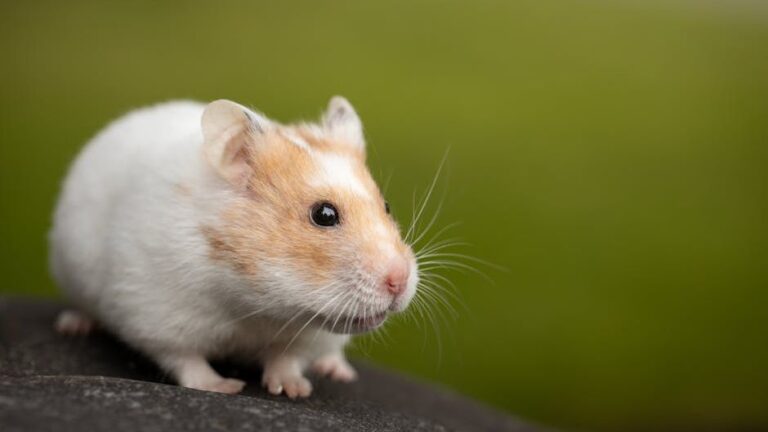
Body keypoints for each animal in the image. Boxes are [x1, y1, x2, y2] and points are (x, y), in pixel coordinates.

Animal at [49, 97, 419, 398]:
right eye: (324, 214)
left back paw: (337, 370)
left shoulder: (307, 336)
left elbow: (286, 358)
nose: (399, 282)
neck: (257, 305)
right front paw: (225, 387)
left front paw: (295, 390)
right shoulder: (156, 313)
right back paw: (74, 325)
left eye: (386, 206)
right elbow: (185, 360)